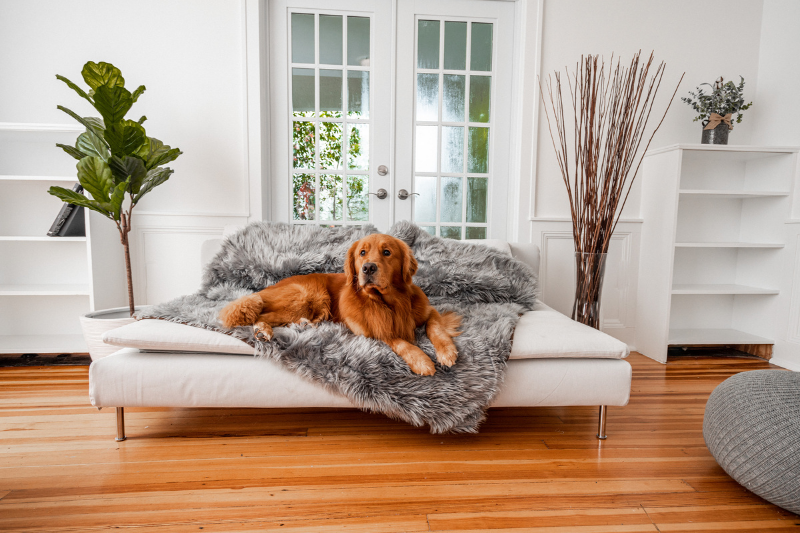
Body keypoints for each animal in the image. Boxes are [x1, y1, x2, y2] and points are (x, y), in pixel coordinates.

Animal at [219, 233, 460, 374]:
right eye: (362, 253)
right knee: (262, 315)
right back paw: (263, 330)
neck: (388, 302)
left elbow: (435, 328)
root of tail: (270, 287)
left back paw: (303, 325)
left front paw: (447, 352)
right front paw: (422, 360)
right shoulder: (373, 332)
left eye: (387, 252)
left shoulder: (430, 312)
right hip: (308, 296)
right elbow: (400, 342)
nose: (368, 268)